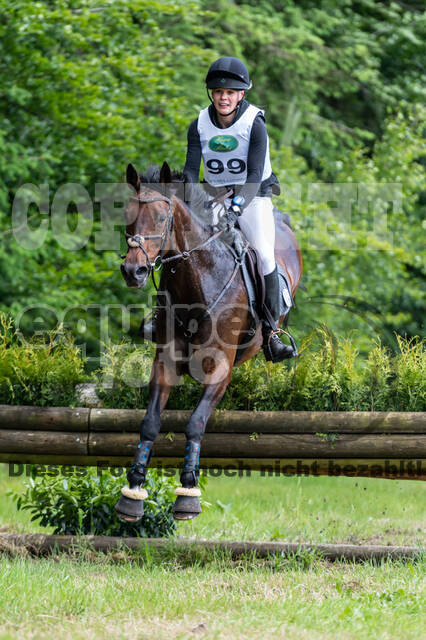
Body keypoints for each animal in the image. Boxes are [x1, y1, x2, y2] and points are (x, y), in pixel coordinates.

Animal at [115, 162, 302, 521]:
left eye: (162, 218)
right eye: (127, 215)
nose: (134, 271)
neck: (198, 280)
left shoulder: (219, 369)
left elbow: (195, 422)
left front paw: (188, 493)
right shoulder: (165, 363)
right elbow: (150, 422)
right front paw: (133, 491)